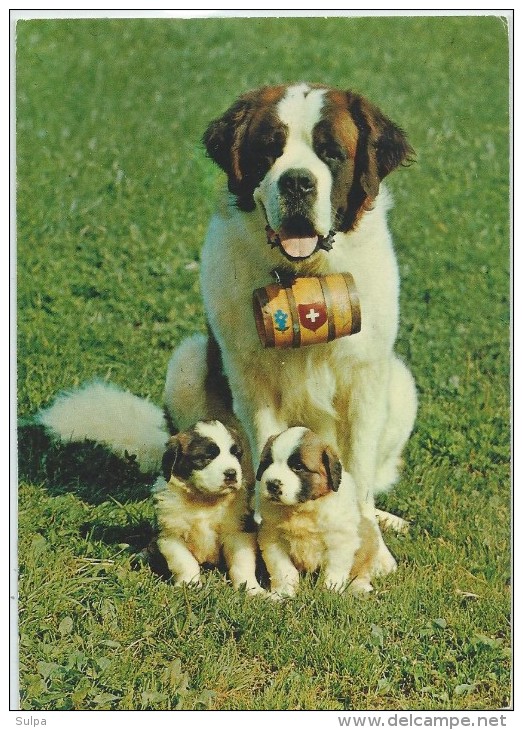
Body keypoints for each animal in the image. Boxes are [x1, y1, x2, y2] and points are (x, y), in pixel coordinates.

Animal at [256, 426, 378, 596]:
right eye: (268, 463)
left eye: (298, 467)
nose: (272, 484)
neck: (302, 510)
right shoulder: (273, 539)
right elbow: (283, 569)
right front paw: (283, 592)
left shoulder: (340, 542)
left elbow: (334, 572)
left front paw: (330, 593)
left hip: (369, 537)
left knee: (362, 570)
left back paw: (360, 587)